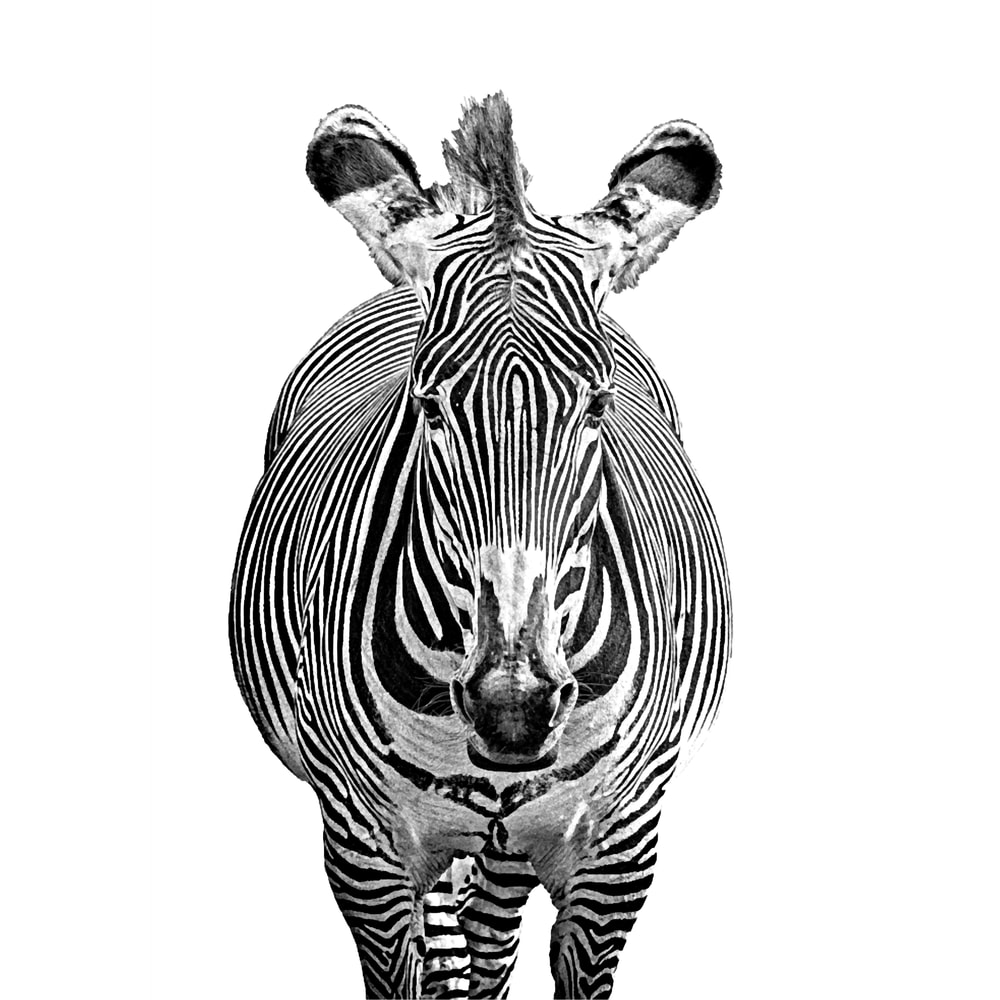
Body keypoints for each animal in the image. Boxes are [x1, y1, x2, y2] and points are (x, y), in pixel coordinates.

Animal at [230, 94, 730, 999]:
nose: (513, 709)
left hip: (512, 848)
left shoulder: (619, 849)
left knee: (489, 943)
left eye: (597, 405)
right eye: (428, 405)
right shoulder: (364, 849)